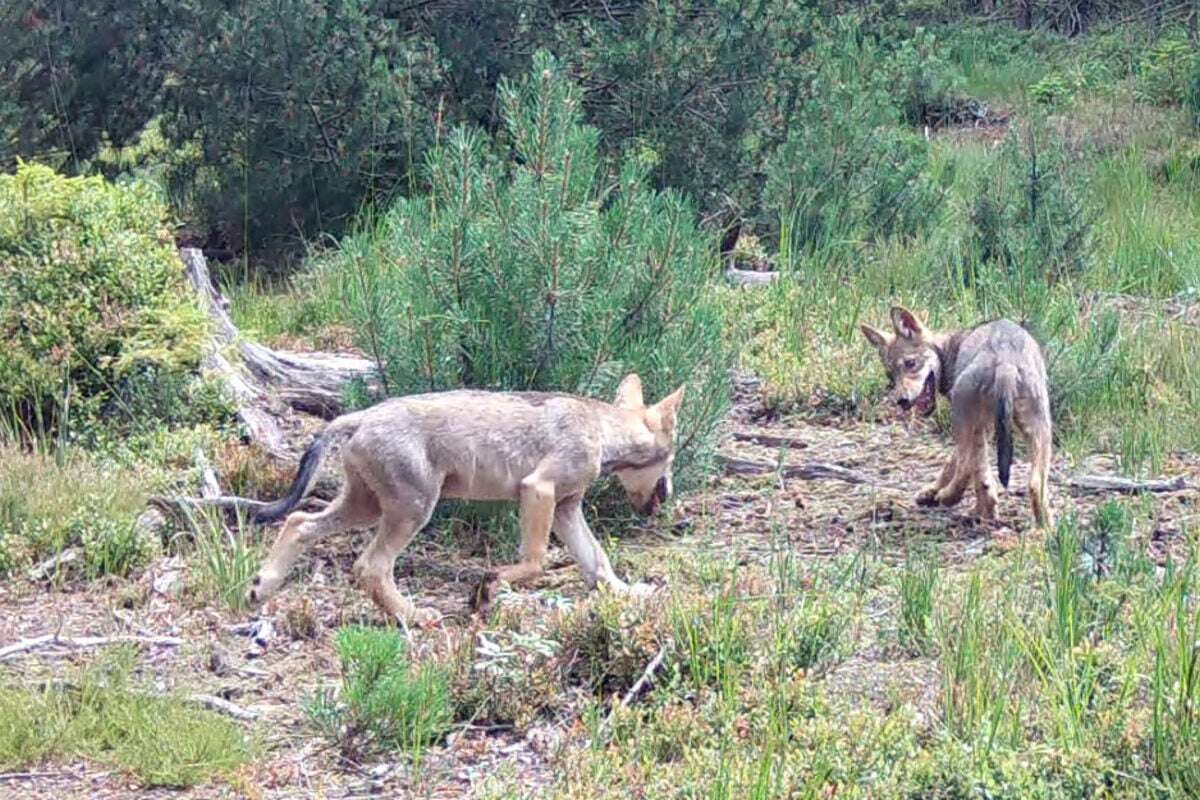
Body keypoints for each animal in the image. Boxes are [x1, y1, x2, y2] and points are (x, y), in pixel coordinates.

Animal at [243, 374, 686, 623]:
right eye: (671, 461)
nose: (668, 496)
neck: (602, 429)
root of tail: (360, 416)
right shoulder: (537, 489)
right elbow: (536, 563)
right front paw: (486, 588)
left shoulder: (565, 507)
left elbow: (598, 564)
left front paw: (629, 592)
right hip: (411, 512)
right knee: (370, 567)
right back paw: (415, 617)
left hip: (365, 508)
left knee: (298, 522)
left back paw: (262, 586)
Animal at [864, 304, 1051, 525]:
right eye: (890, 375)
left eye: (910, 363)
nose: (902, 401)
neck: (950, 348)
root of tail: (1006, 362)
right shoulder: (986, 427)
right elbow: (968, 470)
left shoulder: (978, 426)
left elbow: (957, 466)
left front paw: (935, 493)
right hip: (1038, 429)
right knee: (1032, 484)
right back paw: (1043, 526)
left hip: (962, 417)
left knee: (966, 468)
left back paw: (948, 497)